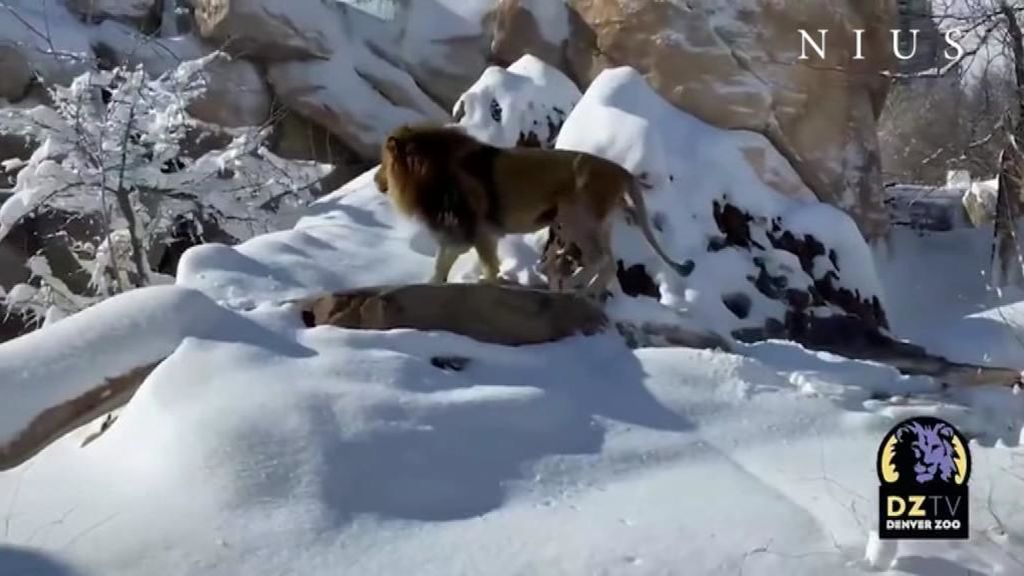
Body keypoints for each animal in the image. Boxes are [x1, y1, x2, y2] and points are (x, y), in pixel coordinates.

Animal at [376, 124, 696, 295]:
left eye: (384, 163)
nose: (376, 180)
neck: (432, 173)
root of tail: (622, 171)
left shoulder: (476, 229)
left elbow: (488, 265)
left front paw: (488, 284)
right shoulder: (460, 231)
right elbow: (441, 264)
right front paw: (431, 284)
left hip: (575, 218)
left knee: (599, 259)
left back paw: (576, 284)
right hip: (597, 225)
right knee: (609, 263)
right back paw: (587, 291)